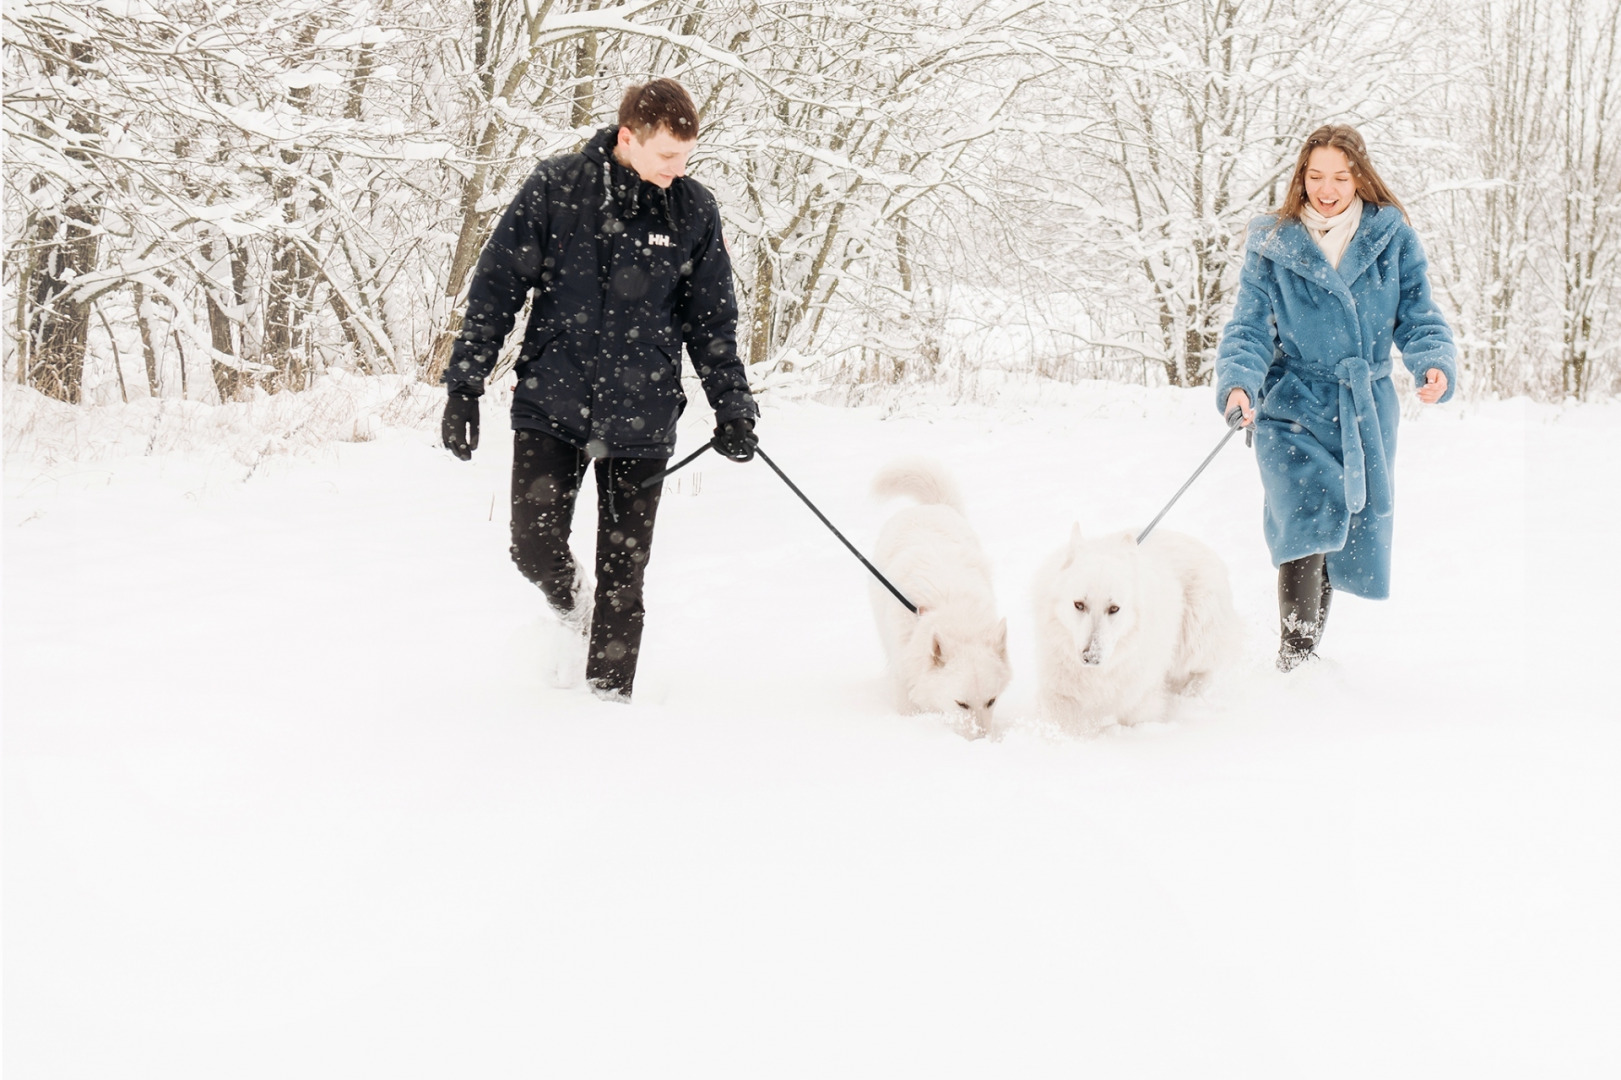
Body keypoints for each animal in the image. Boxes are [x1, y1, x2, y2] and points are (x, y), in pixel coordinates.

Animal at [868, 457, 1005, 736]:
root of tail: (931, 506)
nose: (982, 741)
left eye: (991, 701)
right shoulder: (905, 681)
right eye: (961, 704)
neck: (958, 617)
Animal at [1030, 522, 1231, 732]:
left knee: (1203, 668)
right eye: (1079, 604)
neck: (1099, 673)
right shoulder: (1059, 696)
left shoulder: (1140, 701)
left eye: (1114, 608)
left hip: (1196, 639)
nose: (1091, 657)